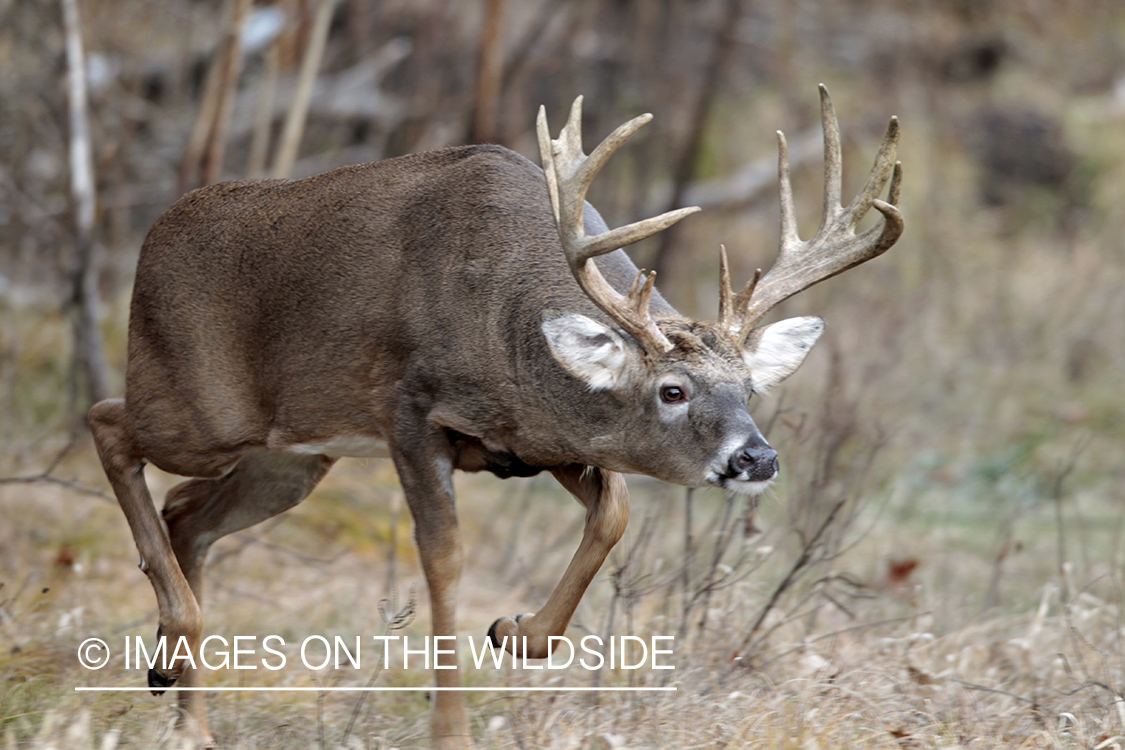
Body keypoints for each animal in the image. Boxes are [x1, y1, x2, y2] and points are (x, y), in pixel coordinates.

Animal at [92, 84, 904, 746]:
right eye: (672, 390)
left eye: (748, 388)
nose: (756, 457)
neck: (505, 322)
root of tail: (153, 236)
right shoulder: (408, 408)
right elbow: (444, 556)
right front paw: (450, 729)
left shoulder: (530, 440)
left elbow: (613, 515)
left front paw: (517, 632)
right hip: (201, 409)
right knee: (108, 423)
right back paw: (176, 641)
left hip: (292, 456)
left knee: (186, 514)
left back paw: (184, 704)